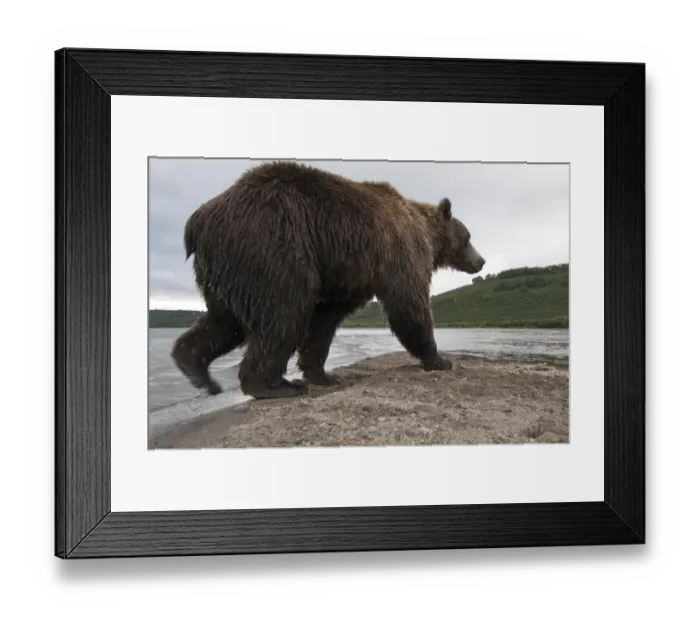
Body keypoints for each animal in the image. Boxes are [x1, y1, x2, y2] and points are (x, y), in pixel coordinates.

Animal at [170, 160, 486, 400]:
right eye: (468, 236)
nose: (480, 261)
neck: (428, 236)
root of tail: (199, 220)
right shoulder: (398, 253)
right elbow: (408, 302)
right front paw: (439, 359)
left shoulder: (349, 272)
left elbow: (326, 317)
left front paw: (320, 373)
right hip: (271, 241)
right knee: (284, 311)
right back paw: (274, 385)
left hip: (230, 267)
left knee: (225, 320)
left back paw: (195, 368)